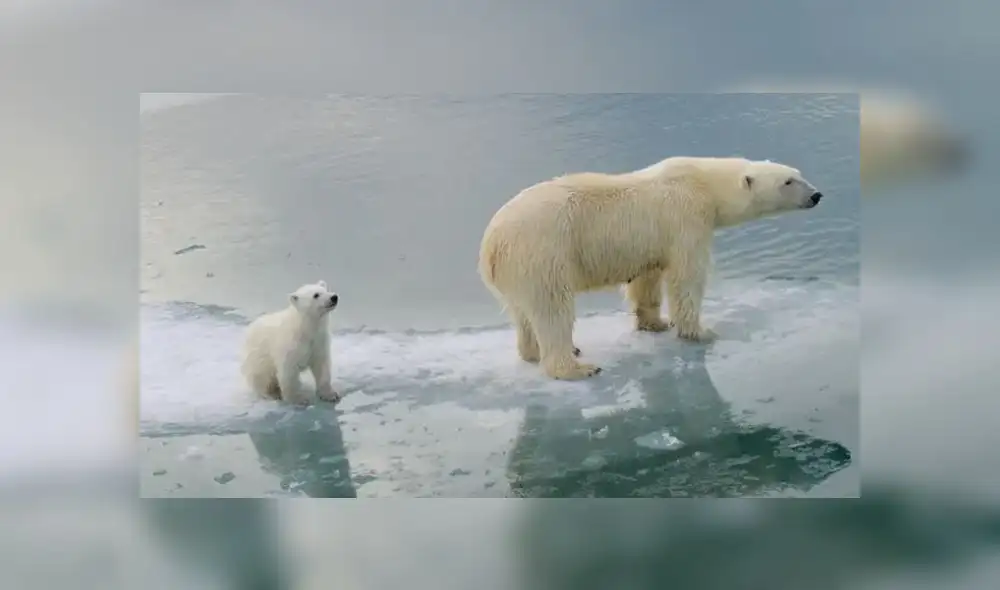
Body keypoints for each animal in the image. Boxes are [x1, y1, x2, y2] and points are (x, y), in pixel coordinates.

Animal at [478, 156, 824, 380]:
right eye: (788, 181)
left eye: (797, 173)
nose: (817, 194)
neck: (703, 182)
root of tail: (491, 245)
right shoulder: (686, 218)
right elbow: (687, 276)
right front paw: (700, 331)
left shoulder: (651, 241)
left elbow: (647, 278)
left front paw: (655, 323)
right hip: (543, 253)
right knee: (552, 309)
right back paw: (576, 366)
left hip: (517, 270)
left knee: (523, 313)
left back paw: (533, 352)